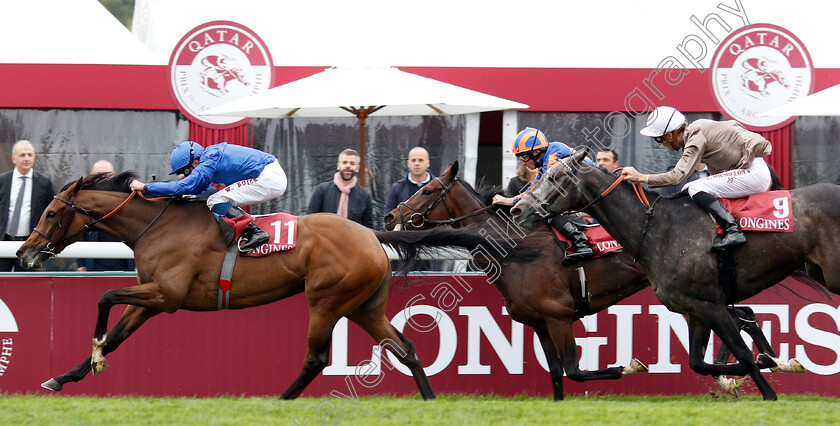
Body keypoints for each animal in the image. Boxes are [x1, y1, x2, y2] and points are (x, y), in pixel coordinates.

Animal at [18, 171, 524, 398]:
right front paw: (65, 375)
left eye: (50, 212)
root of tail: (371, 234)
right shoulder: (152, 296)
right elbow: (118, 334)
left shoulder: (168, 295)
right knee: (406, 348)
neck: (158, 226)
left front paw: (94, 356)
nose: (24, 253)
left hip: (327, 300)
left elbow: (105, 297)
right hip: (365, 306)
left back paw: (279, 401)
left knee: (317, 358)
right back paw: (430, 400)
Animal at [384, 162, 804, 400]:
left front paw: (629, 367)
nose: (390, 216)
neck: (515, 249)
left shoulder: (558, 316)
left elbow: (575, 371)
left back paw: (763, 365)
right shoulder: (539, 323)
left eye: (426, 189)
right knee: (744, 315)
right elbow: (557, 376)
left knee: (740, 317)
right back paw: (761, 364)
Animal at [508, 151, 836, 402]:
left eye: (554, 178)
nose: (518, 208)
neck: (660, 229)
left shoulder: (710, 303)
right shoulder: (696, 309)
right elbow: (699, 363)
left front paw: (768, 387)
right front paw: (766, 361)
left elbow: (741, 353)